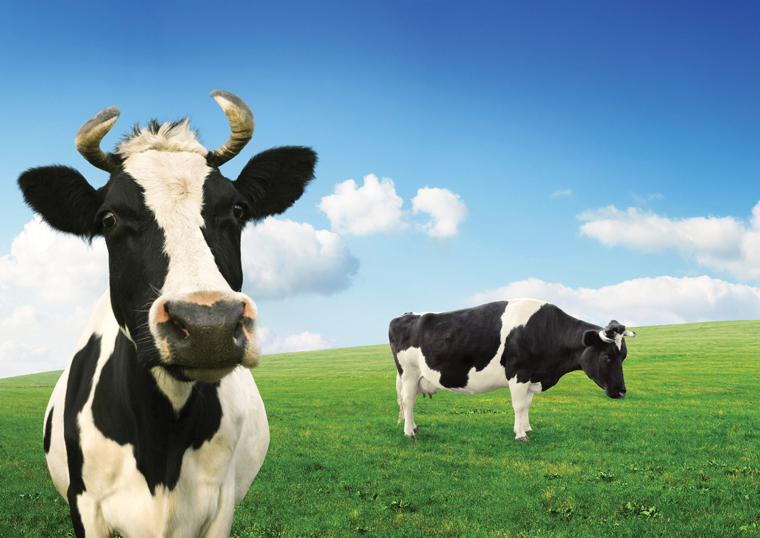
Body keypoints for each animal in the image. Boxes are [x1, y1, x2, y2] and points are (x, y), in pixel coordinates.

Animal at [19, 91, 316, 537]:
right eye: (108, 218)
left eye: (239, 209)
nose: (208, 325)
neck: (162, 438)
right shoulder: (83, 503)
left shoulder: (219, 507)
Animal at [388, 299, 636, 442]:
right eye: (606, 356)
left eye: (623, 356)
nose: (622, 392)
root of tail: (405, 315)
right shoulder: (519, 372)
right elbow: (518, 405)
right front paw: (520, 435)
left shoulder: (532, 376)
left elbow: (526, 405)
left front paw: (527, 428)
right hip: (409, 372)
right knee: (408, 400)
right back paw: (409, 432)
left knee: (409, 401)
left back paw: (415, 427)